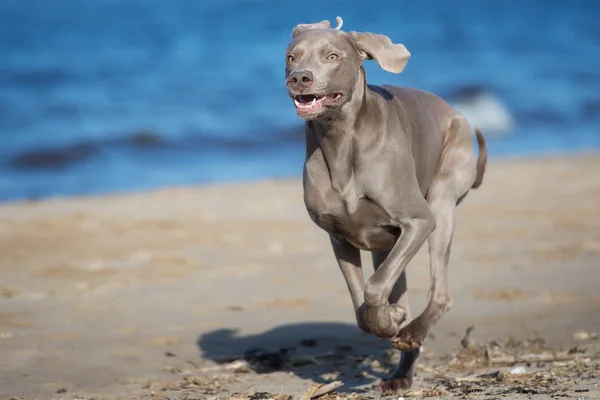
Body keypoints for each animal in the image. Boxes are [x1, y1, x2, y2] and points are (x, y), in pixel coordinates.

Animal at [284, 17, 486, 392]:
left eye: (332, 56)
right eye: (292, 57)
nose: (300, 78)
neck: (340, 141)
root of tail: (454, 111)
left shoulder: (418, 221)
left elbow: (375, 286)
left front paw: (392, 320)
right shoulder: (339, 237)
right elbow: (360, 304)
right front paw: (388, 319)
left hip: (442, 200)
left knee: (440, 291)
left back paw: (411, 332)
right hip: (387, 243)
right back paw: (400, 372)